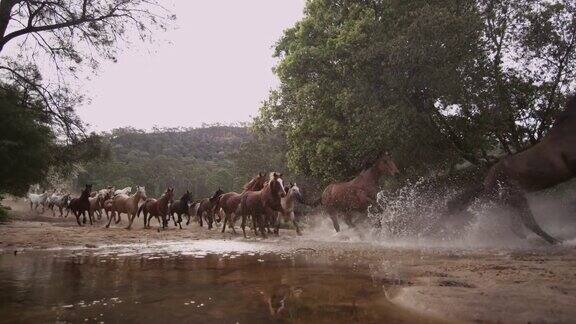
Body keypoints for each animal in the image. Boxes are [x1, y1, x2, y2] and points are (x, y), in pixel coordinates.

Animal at [448, 95, 576, 243]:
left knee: (516, 226)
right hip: (517, 198)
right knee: (528, 222)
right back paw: (555, 241)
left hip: (512, 203)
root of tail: (486, 184)